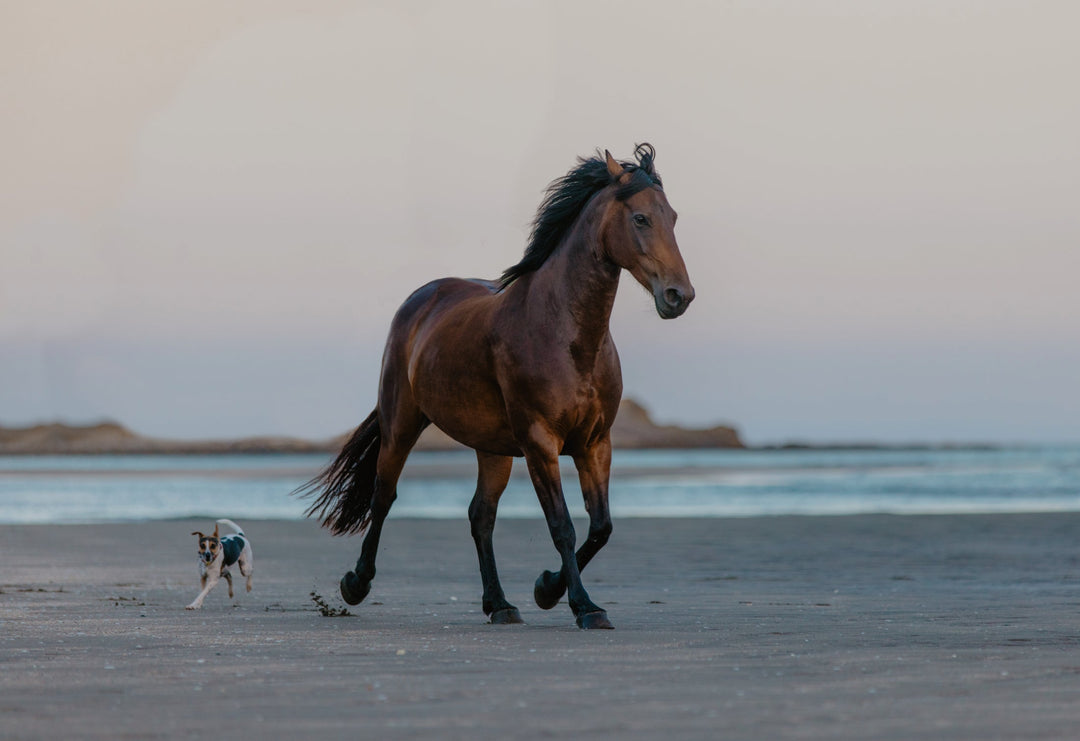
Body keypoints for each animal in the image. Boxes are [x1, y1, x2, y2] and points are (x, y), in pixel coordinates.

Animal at [299, 143, 694, 629]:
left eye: (672, 217)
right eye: (640, 218)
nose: (679, 296)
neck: (564, 334)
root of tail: (421, 299)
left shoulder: (594, 443)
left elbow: (600, 527)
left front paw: (547, 589)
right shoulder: (541, 444)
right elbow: (562, 526)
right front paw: (583, 606)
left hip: (492, 449)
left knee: (480, 515)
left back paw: (500, 604)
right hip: (402, 425)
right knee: (384, 495)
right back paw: (355, 584)